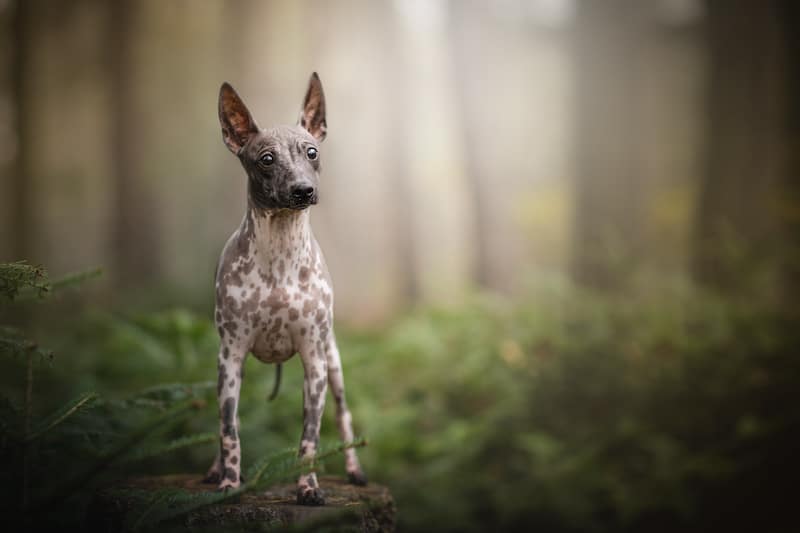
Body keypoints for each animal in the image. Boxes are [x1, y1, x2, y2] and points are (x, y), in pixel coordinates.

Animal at [203, 72, 366, 504]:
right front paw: (229, 484)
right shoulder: (230, 357)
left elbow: (309, 437)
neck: (279, 254)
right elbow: (229, 430)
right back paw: (215, 470)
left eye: (311, 152)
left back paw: (355, 470)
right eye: (266, 159)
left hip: (333, 363)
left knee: (343, 416)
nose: (303, 190)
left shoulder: (314, 361)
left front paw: (308, 487)